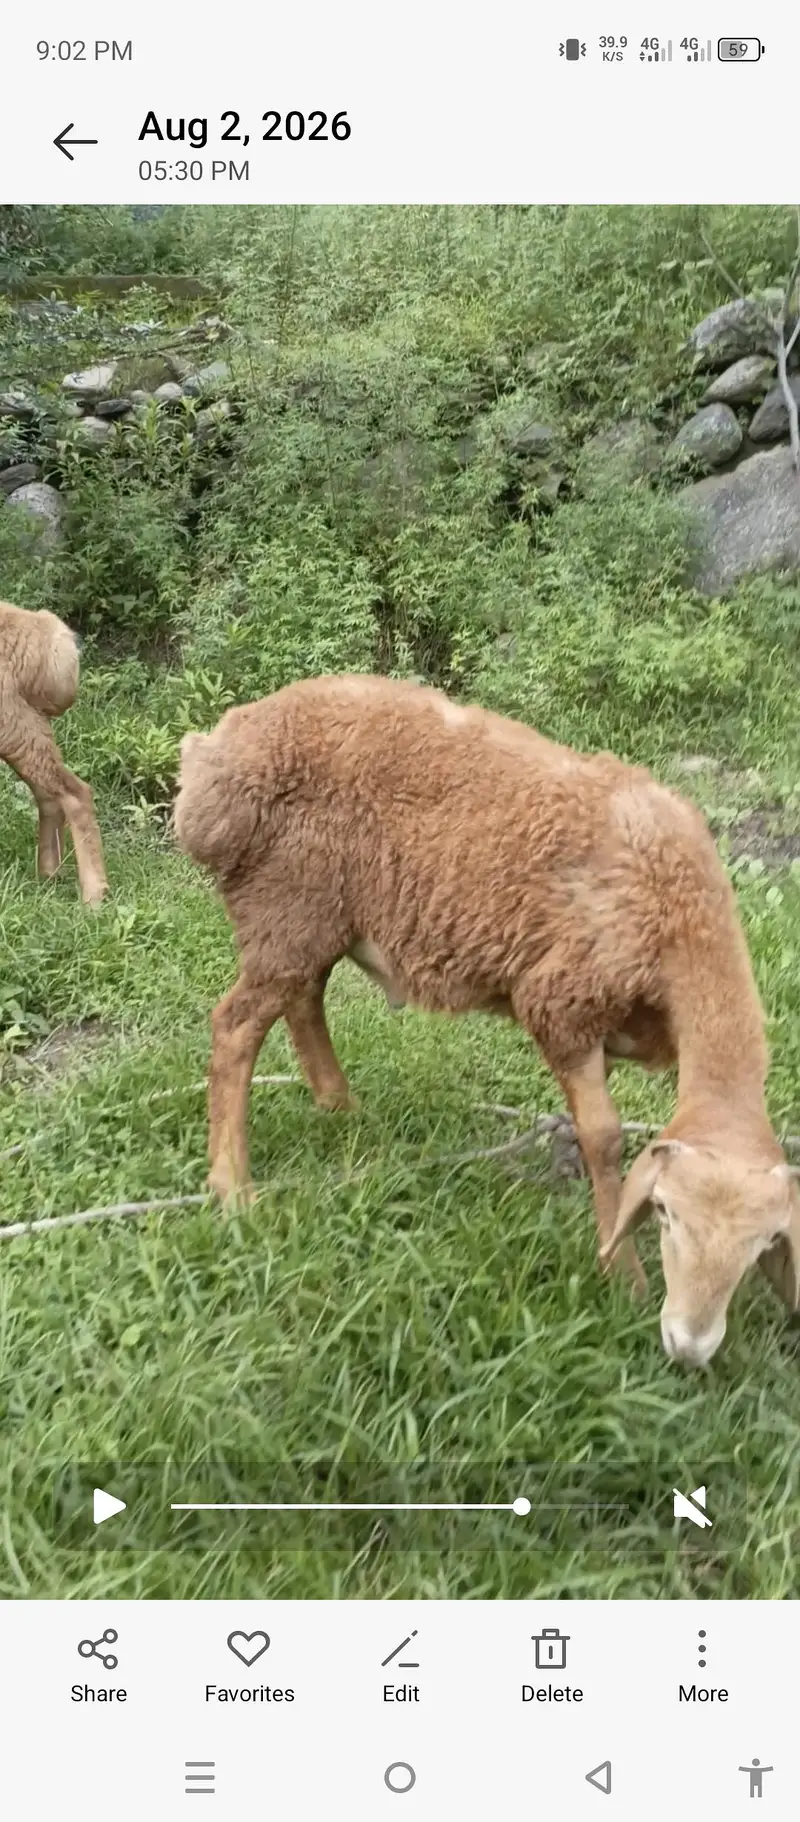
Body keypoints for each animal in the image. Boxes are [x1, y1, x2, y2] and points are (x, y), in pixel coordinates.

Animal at [0, 601, 107, 907]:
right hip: (27, 730)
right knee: (49, 795)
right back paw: (49, 875)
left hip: (16, 728)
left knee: (75, 793)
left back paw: (94, 896)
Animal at [174, 672, 800, 1365]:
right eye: (666, 1215)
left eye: (763, 1244)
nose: (688, 1345)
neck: (677, 910)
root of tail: (215, 760)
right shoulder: (561, 1003)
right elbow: (604, 1137)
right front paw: (623, 1275)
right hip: (287, 903)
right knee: (235, 1027)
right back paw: (233, 1187)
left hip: (311, 917)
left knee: (303, 999)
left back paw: (341, 1110)